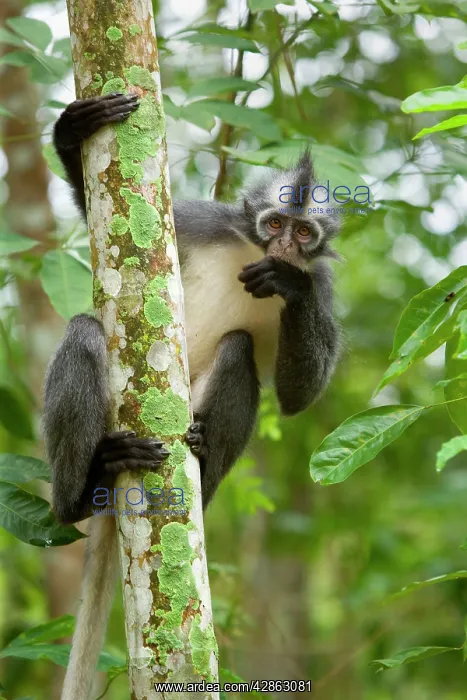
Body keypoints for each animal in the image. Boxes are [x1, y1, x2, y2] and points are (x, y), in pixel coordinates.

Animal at [43, 92, 340, 700]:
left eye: (302, 234)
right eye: (274, 223)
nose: (281, 246)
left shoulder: (321, 285)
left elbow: (299, 396)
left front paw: (288, 283)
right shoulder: (201, 223)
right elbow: (97, 218)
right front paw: (72, 129)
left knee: (239, 347)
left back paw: (198, 460)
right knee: (85, 331)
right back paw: (84, 490)